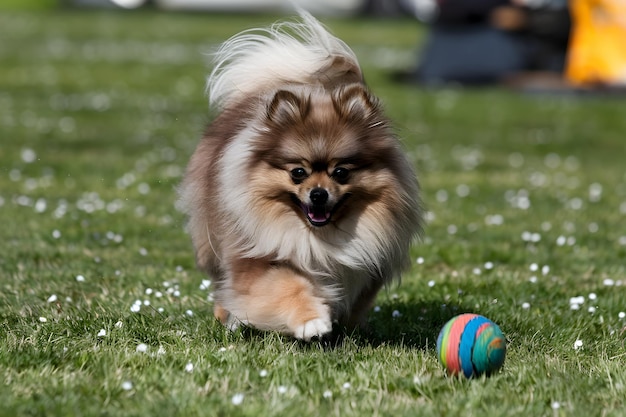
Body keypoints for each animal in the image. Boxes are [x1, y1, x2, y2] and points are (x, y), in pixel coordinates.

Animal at [176, 11, 420, 340]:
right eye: (298, 173)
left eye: (341, 172)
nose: (318, 194)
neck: (320, 239)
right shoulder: (257, 262)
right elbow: (288, 286)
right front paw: (313, 322)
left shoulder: (367, 269)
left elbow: (355, 301)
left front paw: (348, 328)